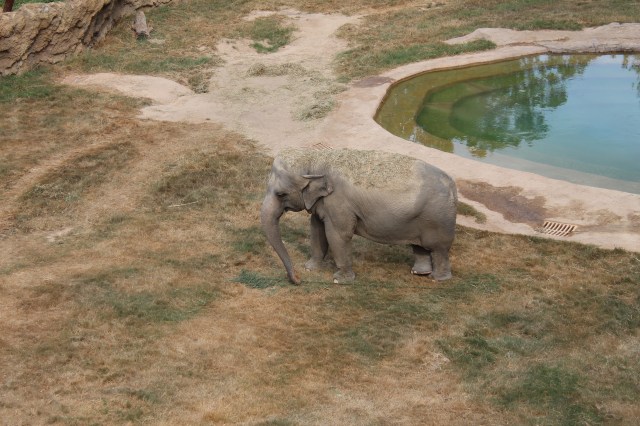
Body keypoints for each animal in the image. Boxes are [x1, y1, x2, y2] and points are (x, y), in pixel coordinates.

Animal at [260, 148, 457, 285]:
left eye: (280, 194)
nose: (298, 279)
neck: (317, 159)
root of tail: (453, 186)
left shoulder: (339, 203)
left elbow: (338, 235)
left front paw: (340, 280)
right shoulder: (322, 203)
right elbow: (316, 229)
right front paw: (310, 268)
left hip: (438, 219)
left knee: (438, 248)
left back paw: (437, 278)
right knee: (419, 246)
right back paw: (419, 273)